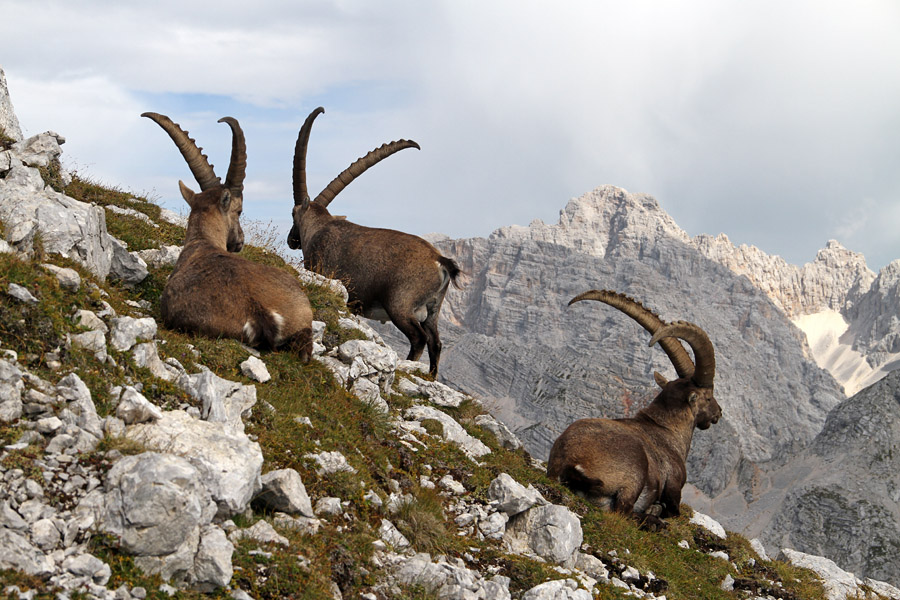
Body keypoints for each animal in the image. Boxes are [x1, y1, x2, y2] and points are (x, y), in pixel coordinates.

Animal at [286, 107, 460, 376]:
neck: (320, 228)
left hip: (400, 304)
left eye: (293, 213)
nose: (291, 240)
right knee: (436, 342)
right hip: (433, 310)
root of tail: (439, 260)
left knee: (419, 338)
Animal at [547, 290, 721, 530]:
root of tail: (571, 464)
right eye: (708, 396)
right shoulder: (674, 486)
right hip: (635, 472)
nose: (718, 414)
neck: (666, 429)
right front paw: (659, 511)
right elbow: (674, 510)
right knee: (624, 511)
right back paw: (654, 519)